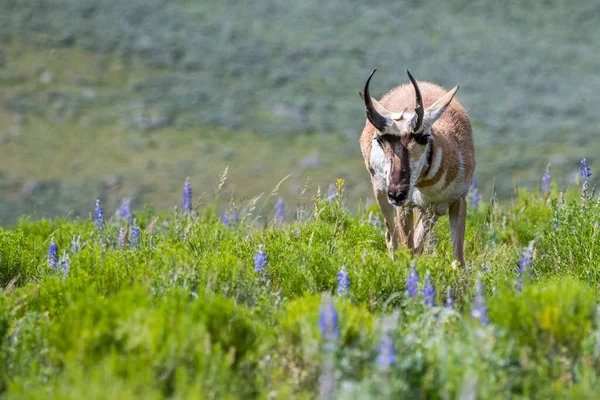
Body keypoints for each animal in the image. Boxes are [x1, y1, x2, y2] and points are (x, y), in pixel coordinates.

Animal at [360, 69, 474, 266]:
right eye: (380, 139)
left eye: (423, 137)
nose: (397, 193)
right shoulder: (405, 207)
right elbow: (409, 249)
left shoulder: (457, 201)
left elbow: (458, 259)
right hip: (381, 193)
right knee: (392, 239)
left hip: (430, 209)